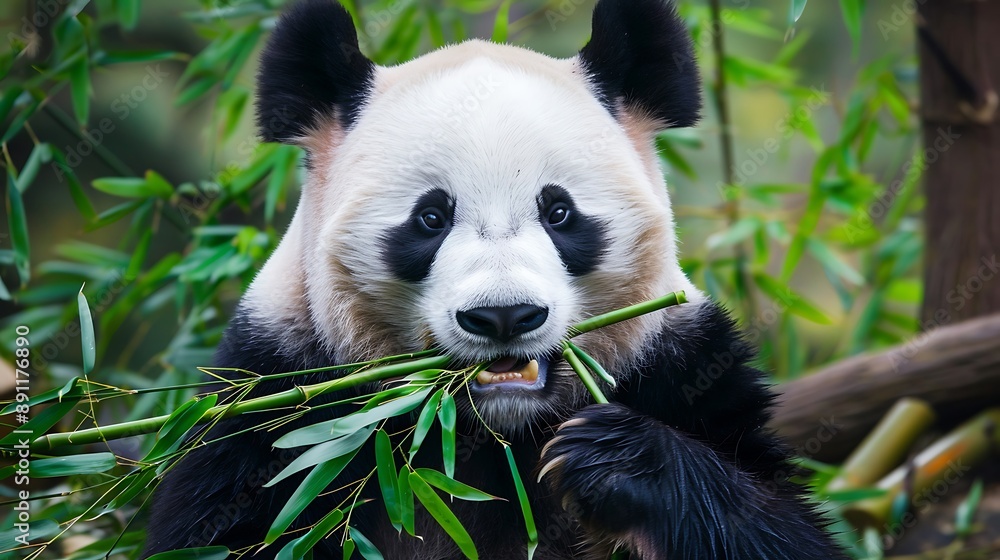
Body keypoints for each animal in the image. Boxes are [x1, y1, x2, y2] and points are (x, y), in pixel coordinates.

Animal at [143, 0, 849, 558]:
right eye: (430, 217)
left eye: (559, 212)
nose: (505, 317)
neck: (488, 432)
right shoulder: (280, 399)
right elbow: (218, 530)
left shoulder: (682, 365)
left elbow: (783, 527)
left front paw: (617, 458)